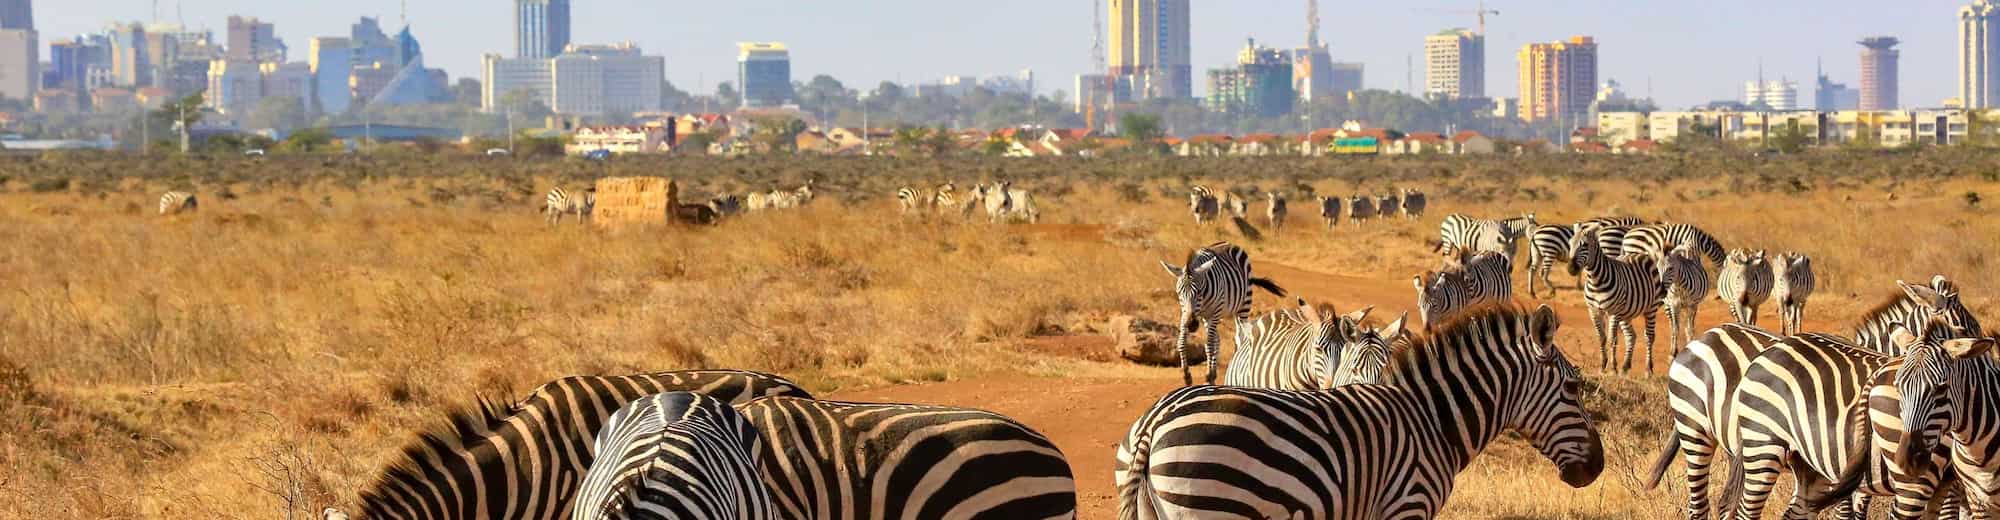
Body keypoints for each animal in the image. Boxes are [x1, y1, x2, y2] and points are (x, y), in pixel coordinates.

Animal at [1159, 242, 1288, 386]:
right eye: (1179, 292)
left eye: (1199, 291)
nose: (1191, 324)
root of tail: (1229, 244)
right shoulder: (1186, 313)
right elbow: (1182, 341)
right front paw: (1187, 375)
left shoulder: (1214, 313)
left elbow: (1210, 344)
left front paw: (1208, 376)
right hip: (1210, 317)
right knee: (1217, 339)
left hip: (1243, 306)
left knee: (1239, 336)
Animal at [1571, 227, 1664, 373]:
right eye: (1570, 244)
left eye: (1584, 245)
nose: (1571, 268)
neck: (1595, 281)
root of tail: (1639, 254)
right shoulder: (1593, 311)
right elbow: (1602, 338)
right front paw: (1603, 366)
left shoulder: (1613, 312)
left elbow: (1612, 339)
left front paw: (1612, 368)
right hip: (1626, 313)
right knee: (1631, 336)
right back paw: (1625, 366)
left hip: (1651, 308)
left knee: (1649, 336)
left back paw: (1648, 369)